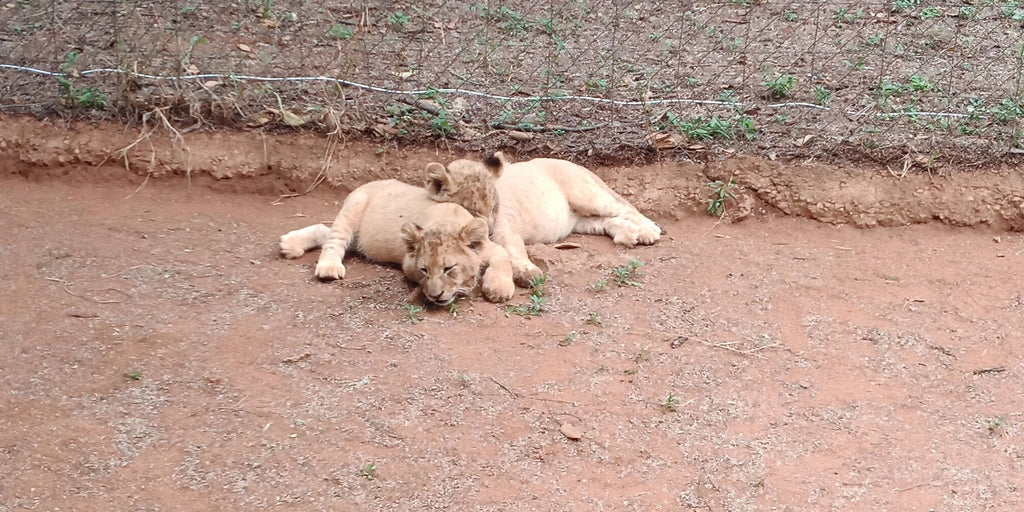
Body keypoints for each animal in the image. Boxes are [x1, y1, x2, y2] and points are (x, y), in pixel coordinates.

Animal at [279, 179, 515, 305]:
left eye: (449, 268)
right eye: (424, 270)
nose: (435, 296)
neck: (447, 221)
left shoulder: (489, 246)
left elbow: (504, 258)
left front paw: (499, 288)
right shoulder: (407, 261)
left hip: (358, 237)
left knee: (324, 231)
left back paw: (289, 243)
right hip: (353, 207)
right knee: (334, 240)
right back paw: (328, 268)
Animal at [427, 152, 663, 284]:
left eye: (494, 208)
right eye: (473, 211)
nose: (489, 232)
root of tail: (578, 166)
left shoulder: (505, 229)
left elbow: (514, 249)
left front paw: (527, 272)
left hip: (584, 195)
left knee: (624, 209)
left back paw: (648, 232)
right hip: (578, 220)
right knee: (605, 221)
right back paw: (628, 234)